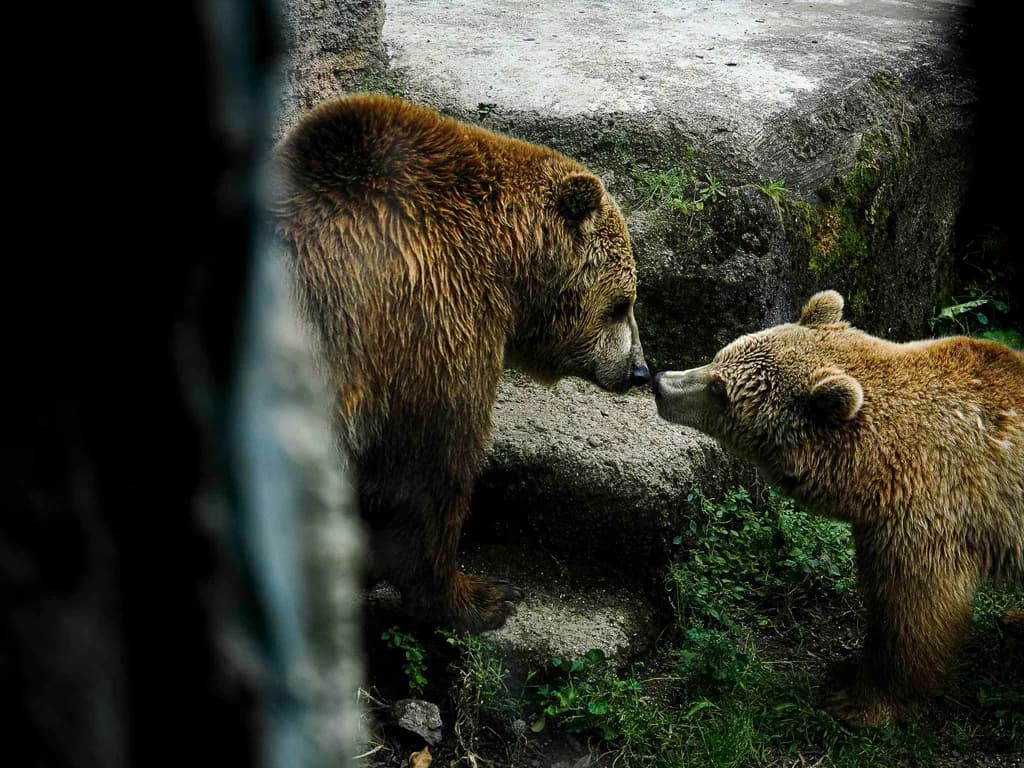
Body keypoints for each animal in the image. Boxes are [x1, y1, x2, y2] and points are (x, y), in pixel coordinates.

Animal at [652, 290, 1023, 726]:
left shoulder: (931, 509)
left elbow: (915, 610)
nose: (660, 383)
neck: (875, 467)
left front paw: (859, 702)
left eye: (719, 389)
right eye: (717, 355)